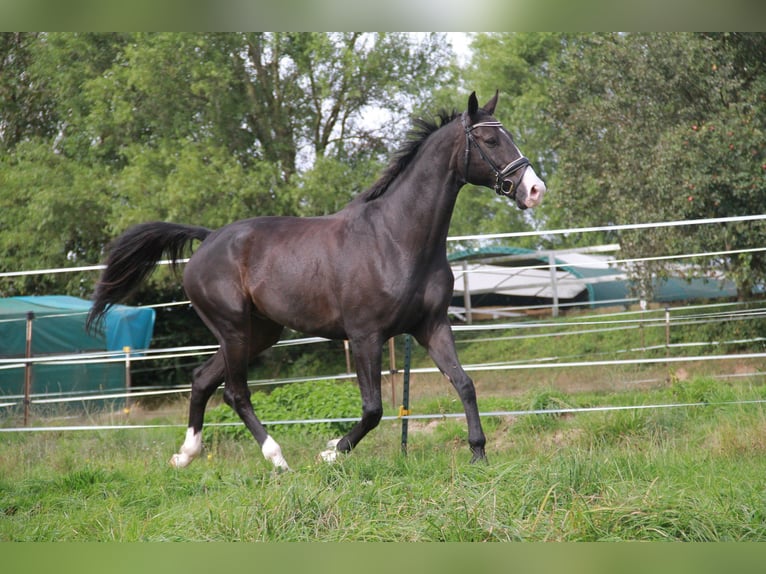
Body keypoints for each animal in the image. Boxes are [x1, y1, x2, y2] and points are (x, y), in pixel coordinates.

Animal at [87, 92, 548, 470]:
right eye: (490, 140)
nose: (535, 189)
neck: (396, 238)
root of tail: (209, 238)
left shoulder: (430, 325)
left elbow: (464, 383)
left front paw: (478, 454)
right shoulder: (365, 336)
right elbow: (373, 408)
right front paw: (331, 452)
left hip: (259, 332)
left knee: (202, 379)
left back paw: (185, 456)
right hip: (234, 329)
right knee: (235, 392)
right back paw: (277, 459)